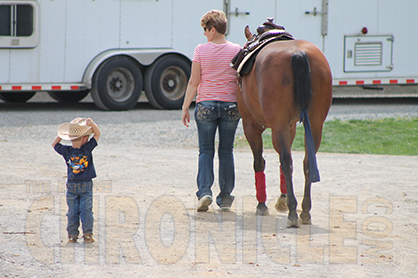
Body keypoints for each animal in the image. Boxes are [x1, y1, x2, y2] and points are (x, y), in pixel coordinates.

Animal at [237, 23, 332, 228]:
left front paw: (263, 204)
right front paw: (283, 199)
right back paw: (304, 211)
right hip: (315, 124)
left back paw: (293, 213)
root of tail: (298, 53)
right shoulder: (291, 127)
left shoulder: (251, 125)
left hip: (278, 125)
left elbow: (259, 162)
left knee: (286, 161)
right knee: (306, 162)